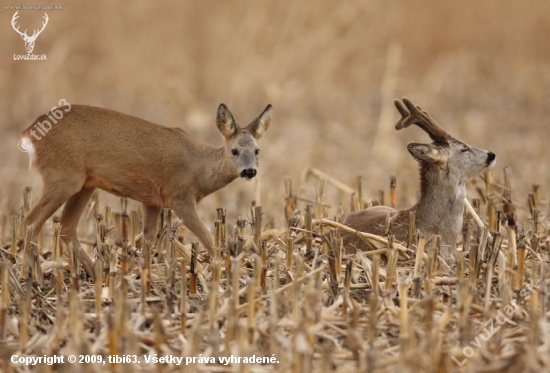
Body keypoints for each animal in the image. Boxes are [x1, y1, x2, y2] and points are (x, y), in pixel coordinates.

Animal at [23, 102, 274, 276]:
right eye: (234, 151)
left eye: (257, 150)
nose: (249, 171)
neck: (199, 169)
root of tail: (30, 133)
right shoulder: (179, 196)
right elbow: (208, 239)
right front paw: (218, 274)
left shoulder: (151, 200)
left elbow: (149, 239)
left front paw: (142, 273)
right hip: (63, 177)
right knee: (31, 222)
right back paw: (35, 275)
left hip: (84, 184)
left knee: (66, 227)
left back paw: (94, 273)